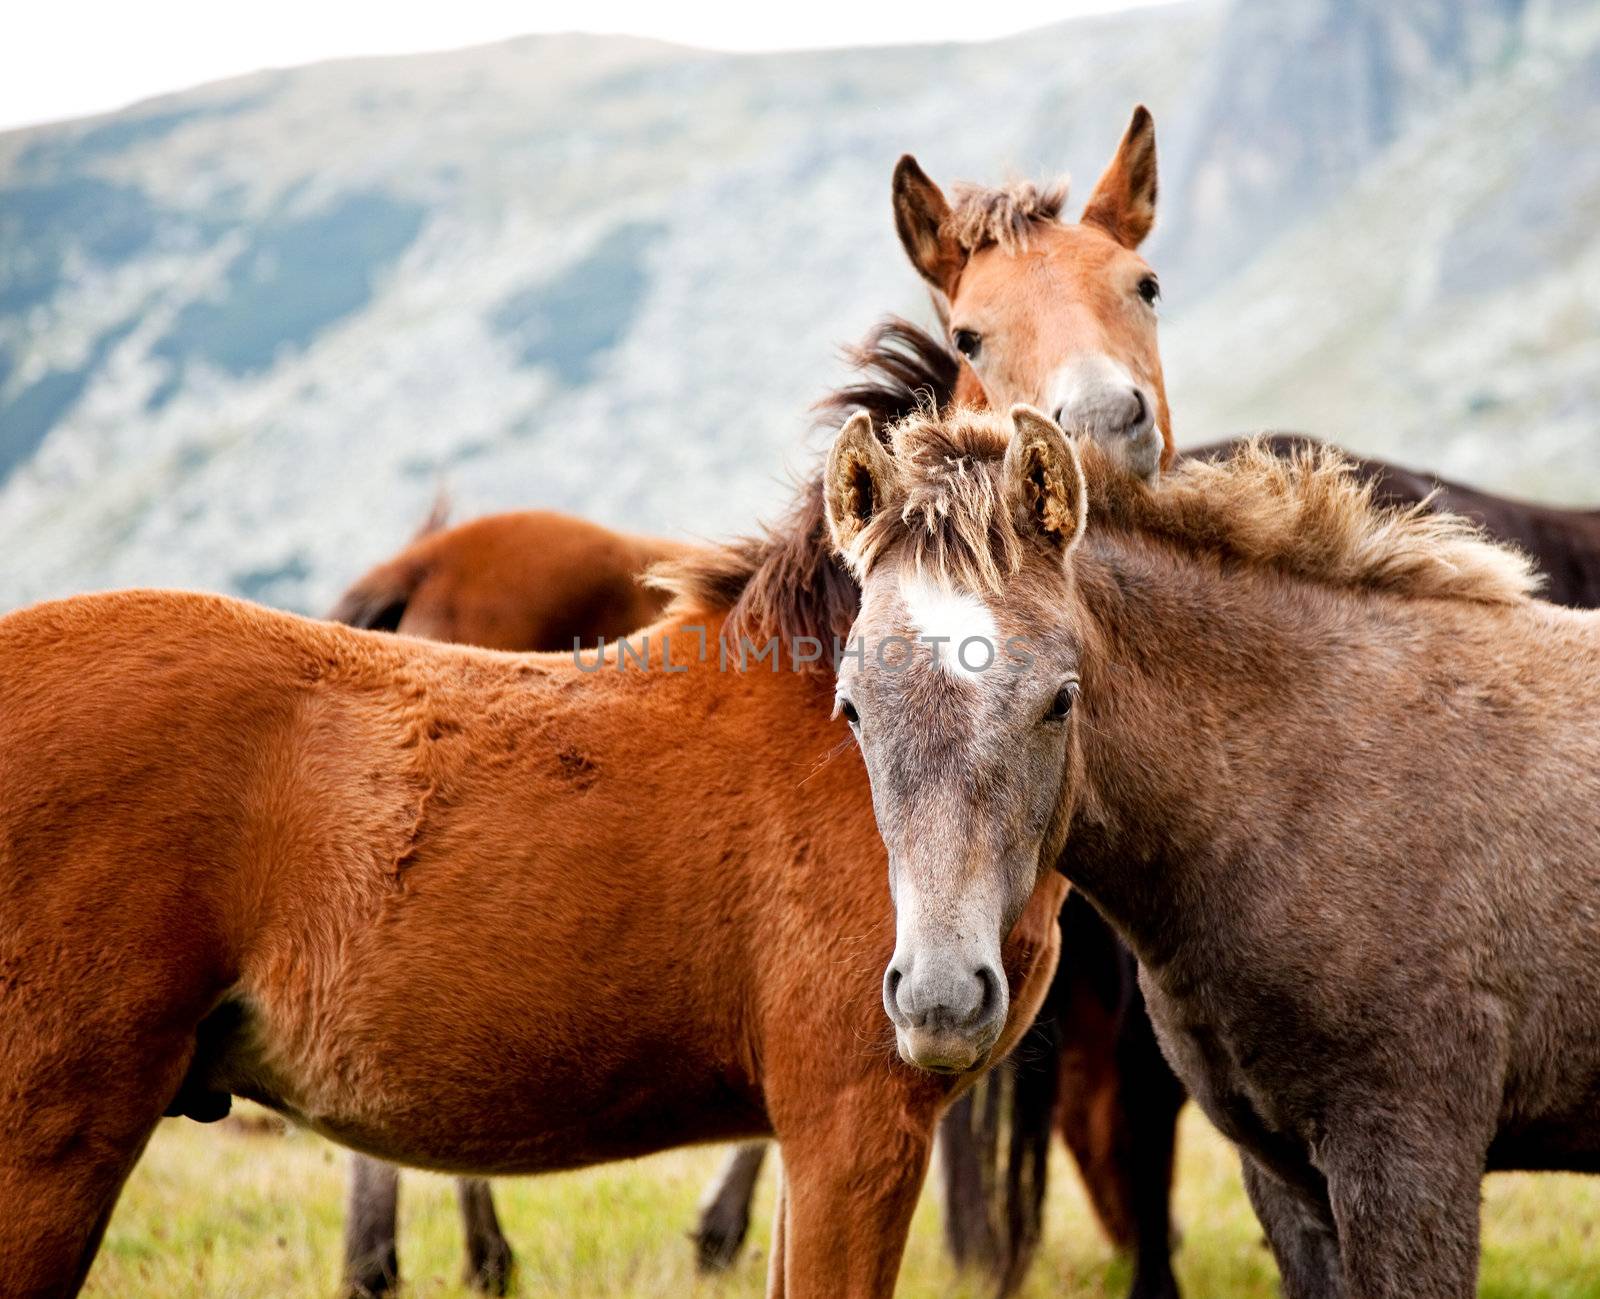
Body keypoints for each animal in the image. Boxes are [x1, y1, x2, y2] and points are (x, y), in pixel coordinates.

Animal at [825, 401, 1600, 1292]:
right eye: (852, 706)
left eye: (1061, 700)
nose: (941, 1001)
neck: (1307, 787)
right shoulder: (1285, 1175)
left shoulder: (1413, 1157)